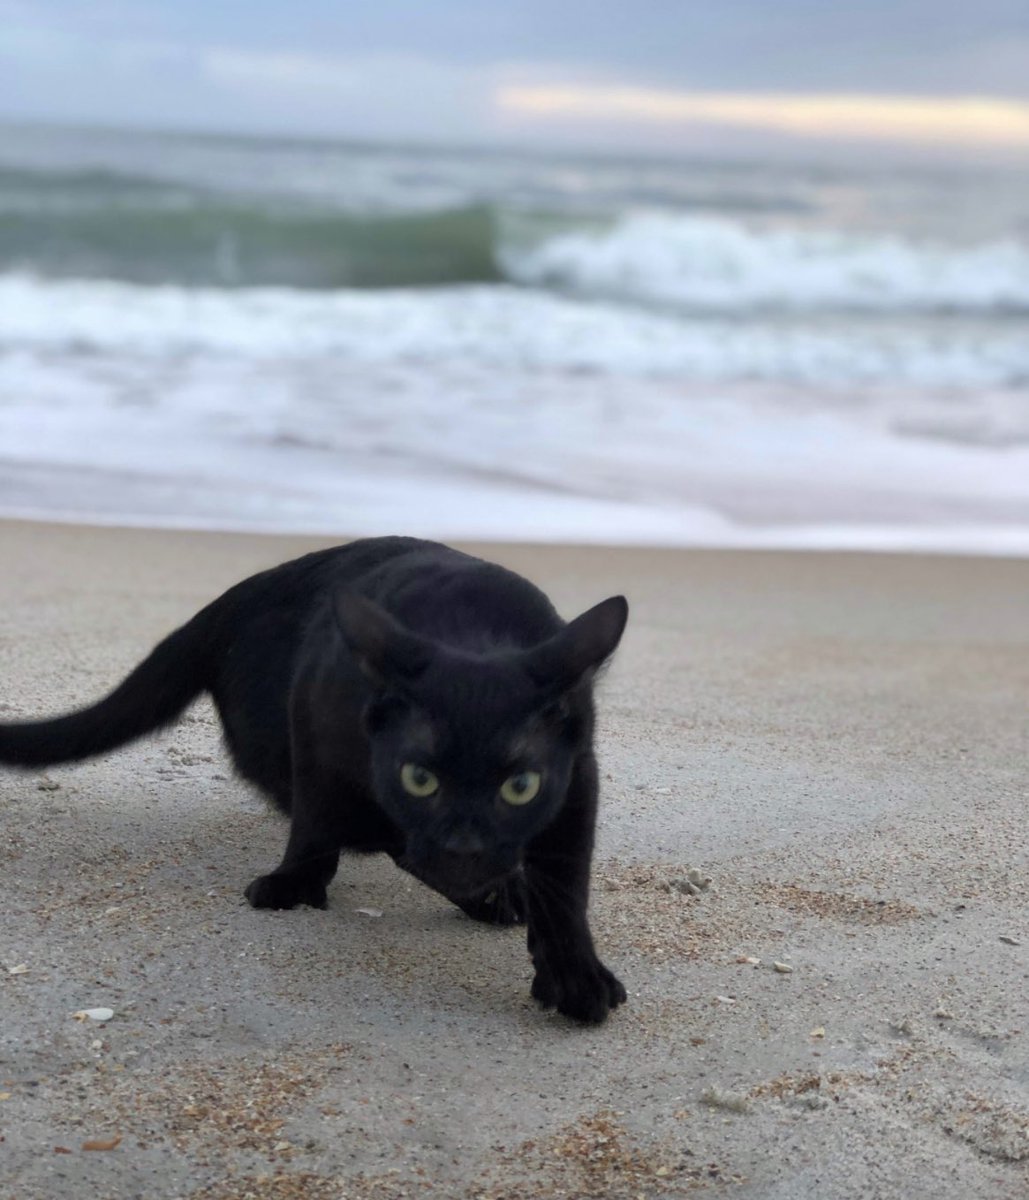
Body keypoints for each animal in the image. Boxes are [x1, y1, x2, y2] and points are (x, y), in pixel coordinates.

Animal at [0, 542, 623, 1022]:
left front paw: (574, 975)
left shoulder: (578, 777)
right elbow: (316, 823)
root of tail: (227, 602)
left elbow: (566, 885)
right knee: (371, 834)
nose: (463, 847)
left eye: (520, 786)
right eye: (420, 778)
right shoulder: (314, 717)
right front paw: (294, 885)